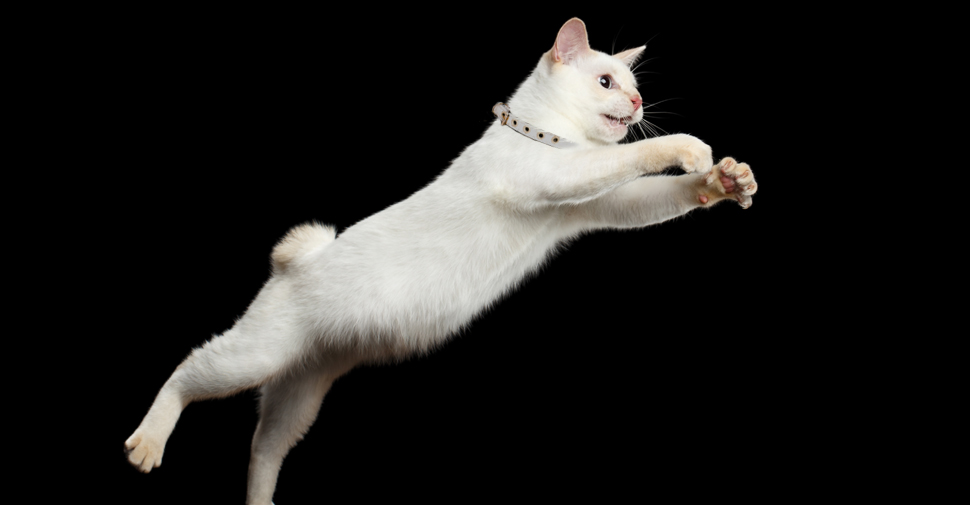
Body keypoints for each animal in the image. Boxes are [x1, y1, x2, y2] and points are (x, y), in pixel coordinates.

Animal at [123, 17, 756, 502]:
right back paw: (147, 445)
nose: (638, 101)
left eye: (633, 85)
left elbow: (660, 191)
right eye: (607, 82)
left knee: (262, 450)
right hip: (253, 357)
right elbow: (642, 154)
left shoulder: (596, 208)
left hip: (298, 398)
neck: (546, 135)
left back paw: (261, 504)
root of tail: (292, 263)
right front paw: (693, 149)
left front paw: (729, 181)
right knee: (187, 372)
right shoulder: (557, 178)